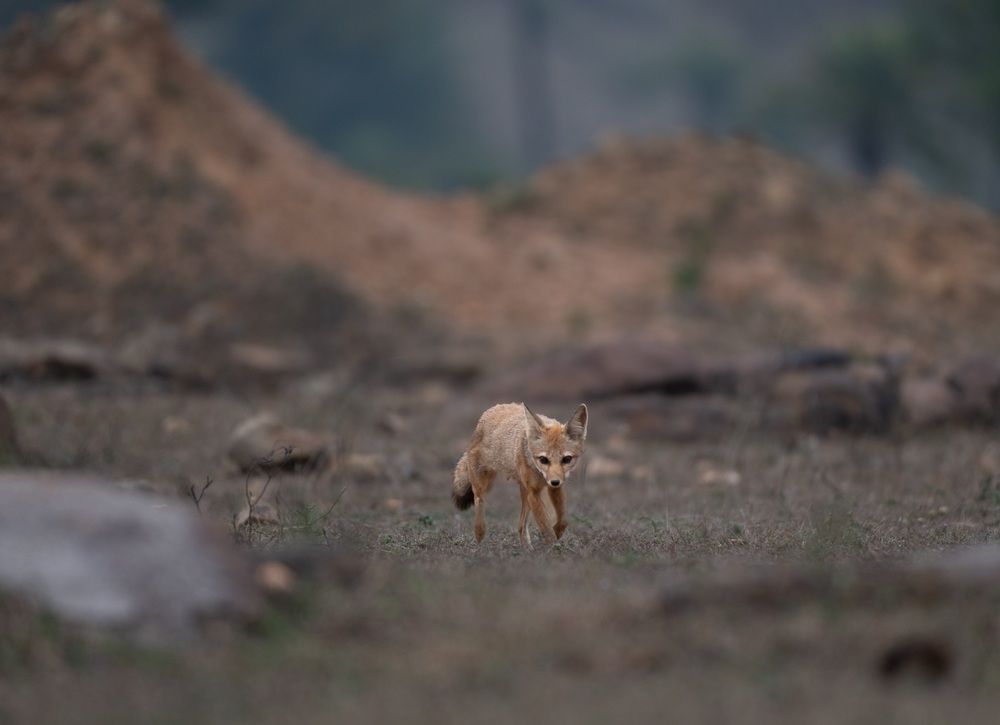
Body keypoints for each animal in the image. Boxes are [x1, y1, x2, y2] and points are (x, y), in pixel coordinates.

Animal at [452, 402, 588, 547]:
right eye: (543, 460)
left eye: (567, 459)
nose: (555, 481)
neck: (539, 473)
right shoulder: (533, 493)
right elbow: (547, 528)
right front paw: (553, 547)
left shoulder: (554, 488)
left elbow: (563, 520)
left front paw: (556, 533)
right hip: (483, 485)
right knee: (478, 502)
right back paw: (480, 536)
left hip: (524, 493)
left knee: (521, 526)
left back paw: (527, 549)